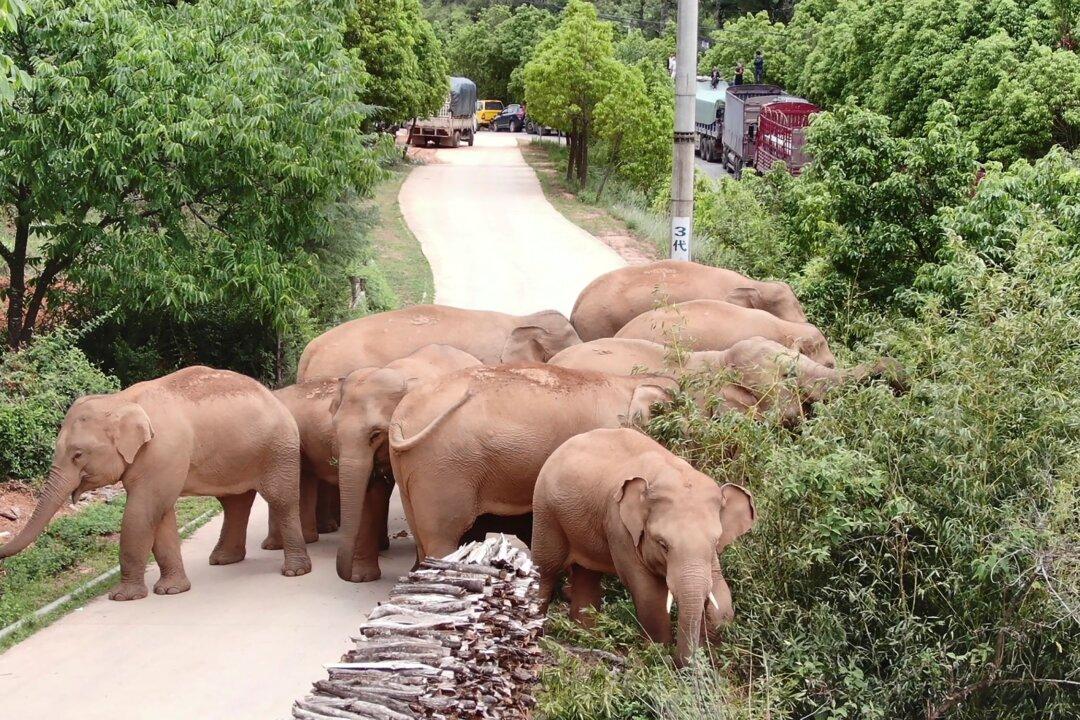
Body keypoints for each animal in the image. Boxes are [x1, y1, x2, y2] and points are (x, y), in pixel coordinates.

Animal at [0, 366, 311, 600]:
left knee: (281, 500)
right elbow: (160, 515)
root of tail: (276, 397)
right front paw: (172, 590)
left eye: (78, 455)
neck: (121, 399)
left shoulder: (162, 451)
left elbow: (143, 511)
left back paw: (295, 572)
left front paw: (123, 597)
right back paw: (223, 560)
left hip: (279, 448)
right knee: (235, 502)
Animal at [331, 344, 481, 582]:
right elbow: (370, 492)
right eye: (335, 429)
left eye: (375, 434)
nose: (347, 575)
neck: (398, 372)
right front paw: (363, 578)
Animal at [387, 364, 677, 571]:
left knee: (421, 535)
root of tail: (401, 417)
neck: (629, 383)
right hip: (445, 469)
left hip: (410, 470)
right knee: (442, 537)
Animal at [531, 427, 756, 666]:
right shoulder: (619, 527)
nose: (683, 664)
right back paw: (538, 634)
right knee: (546, 568)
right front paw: (657, 656)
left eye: (715, 542)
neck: (670, 473)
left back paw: (587, 638)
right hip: (546, 511)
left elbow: (721, 596)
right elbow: (649, 594)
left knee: (587, 575)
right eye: (663, 544)